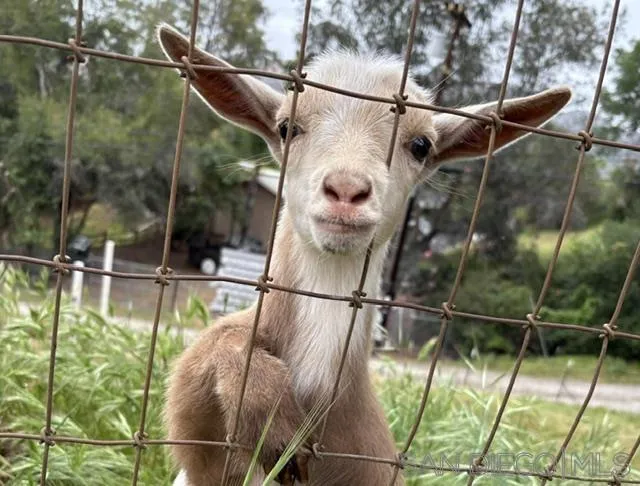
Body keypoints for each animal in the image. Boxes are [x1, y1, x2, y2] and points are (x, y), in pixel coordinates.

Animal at [157, 24, 571, 486]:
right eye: (286, 127)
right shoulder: (201, 452)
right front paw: (274, 426)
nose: (346, 188)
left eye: (421, 144)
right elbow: (202, 367)